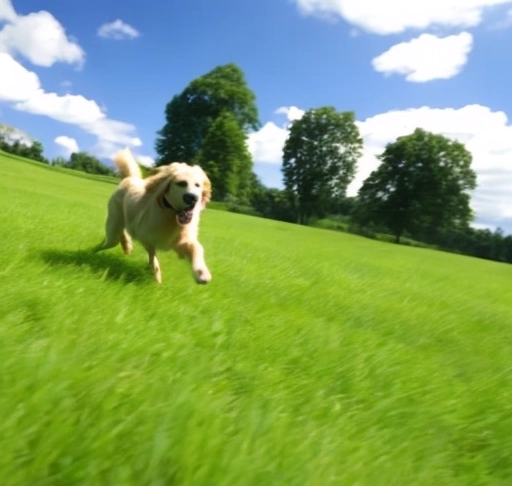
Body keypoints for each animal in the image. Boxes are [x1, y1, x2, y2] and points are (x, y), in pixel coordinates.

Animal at [96, 148, 212, 284]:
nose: (193, 198)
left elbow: (196, 248)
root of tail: (129, 178)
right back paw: (101, 248)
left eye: (197, 185)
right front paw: (156, 273)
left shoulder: (182, 240)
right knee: (113, 237)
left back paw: (126, 245)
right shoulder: (146, 238)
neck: (171, 214)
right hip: (114, 223)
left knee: (123, 231)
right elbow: (152, 256)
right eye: (181, 183)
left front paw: (202, 273)